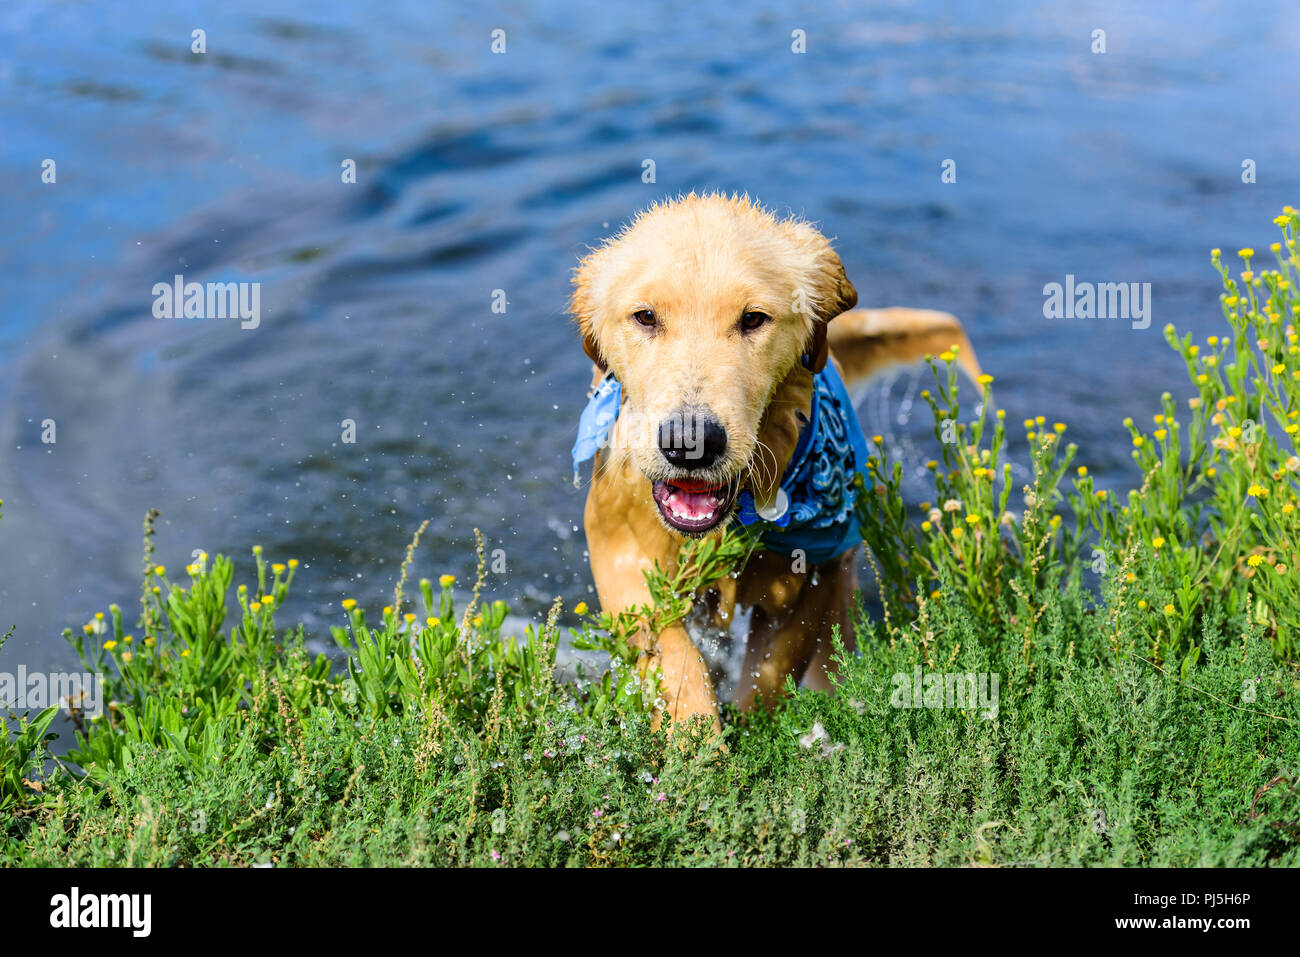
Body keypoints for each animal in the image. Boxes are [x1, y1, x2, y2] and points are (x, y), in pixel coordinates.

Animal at [569, 195, 977, 733]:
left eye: (753, 319)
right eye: (645, 317)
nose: (690, 443)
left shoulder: (813, 580)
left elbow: (771, 676)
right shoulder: (621, 556)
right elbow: (676, 662)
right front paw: (697, 741)